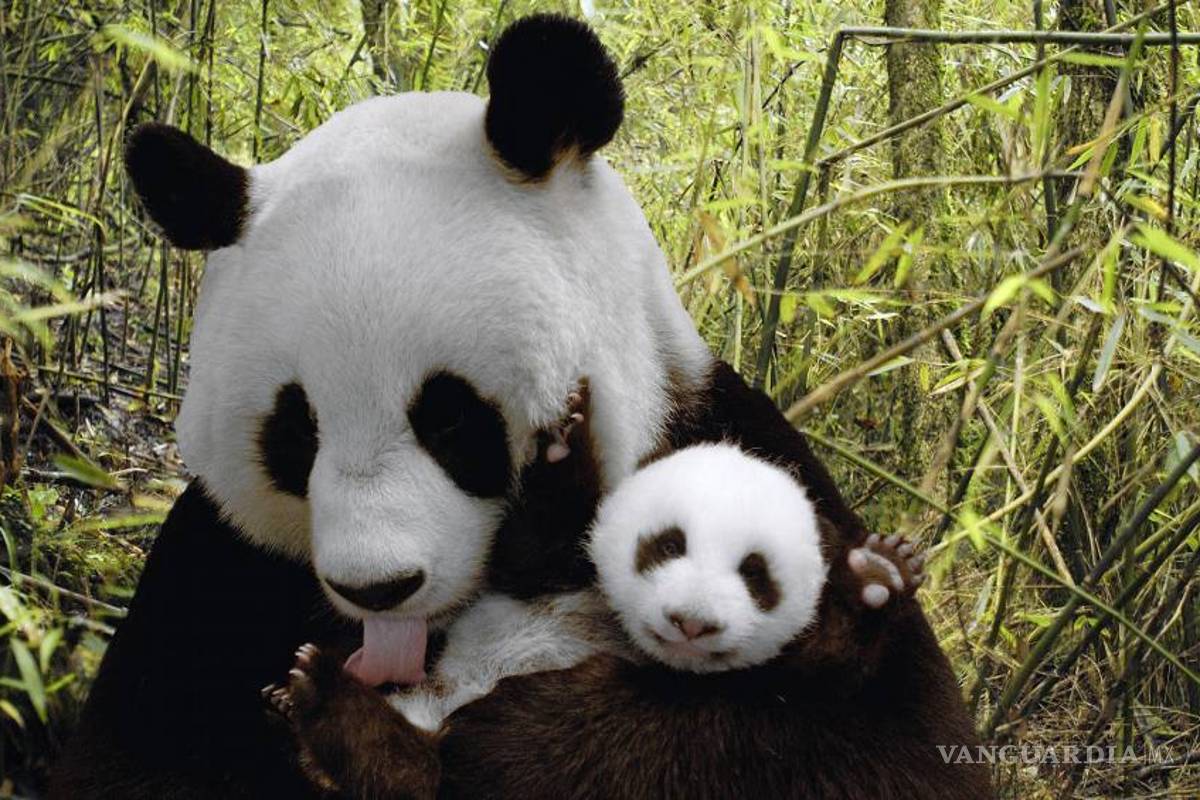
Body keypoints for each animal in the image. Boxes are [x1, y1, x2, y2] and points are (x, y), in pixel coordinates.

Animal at [51, 14, 989, 800]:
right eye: (297, 432)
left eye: (449, 418)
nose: (379, 589)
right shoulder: (218, 567)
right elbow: (135, 757)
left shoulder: (732, 445)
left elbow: (876, 745)